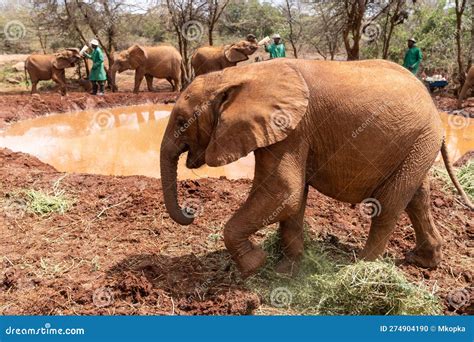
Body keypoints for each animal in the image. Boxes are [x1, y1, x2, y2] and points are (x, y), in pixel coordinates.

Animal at [160, 58, 474, 278]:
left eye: (182, 122)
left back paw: (359, 268)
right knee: (418, 199)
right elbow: (292, 200)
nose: (191, 212)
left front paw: (255, 265)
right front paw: (287, 271)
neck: (239, 75)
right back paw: (423, 262)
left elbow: (284, 192)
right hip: (418, 145)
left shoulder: (292, 129)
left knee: (388, 204)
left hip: (420, 139)